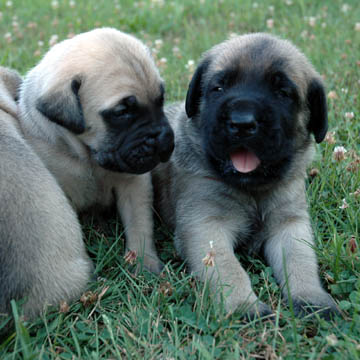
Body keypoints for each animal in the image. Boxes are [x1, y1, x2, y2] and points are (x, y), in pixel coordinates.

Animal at [19, 28, 175, 274]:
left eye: (160, 101)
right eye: (122, 112)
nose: (164, 139)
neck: (88, 157)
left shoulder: (134, 183)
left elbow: (140, 223)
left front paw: (144, 263)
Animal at [153, 33, 338, 318]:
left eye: (283, 93)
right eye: (219, 88)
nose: (241, 123)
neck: (253, 191)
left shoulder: (289, 223)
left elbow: (301, 260)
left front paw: (312, 299)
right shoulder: (204, 224)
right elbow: (228, 268)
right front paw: (244, 306)